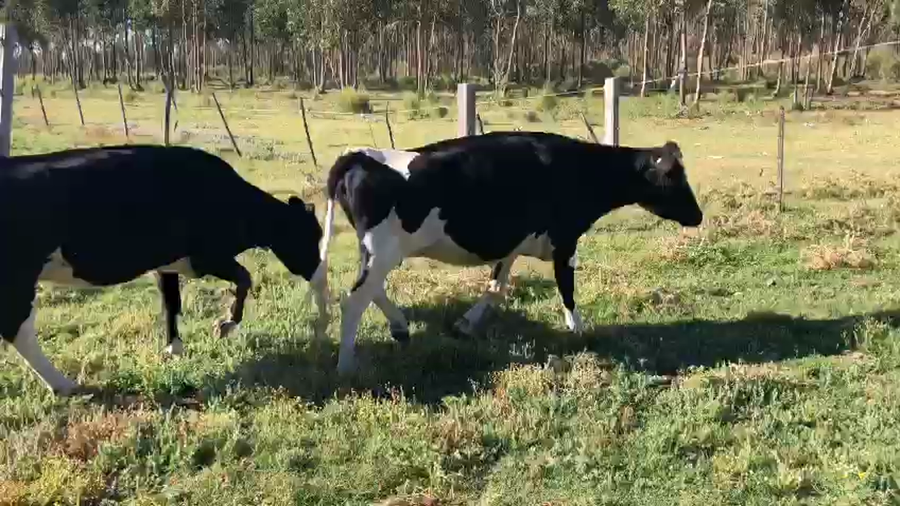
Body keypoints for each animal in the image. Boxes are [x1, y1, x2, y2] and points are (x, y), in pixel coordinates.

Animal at [0, 144, 329, 396]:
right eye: (310, 235)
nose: (319, 272)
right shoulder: (207, 257)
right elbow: (245, 278)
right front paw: (225, 325)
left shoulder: (168, 265)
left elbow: (172, 302)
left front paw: (174, 349)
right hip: (19, 277)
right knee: (17, 328)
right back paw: (63, 384)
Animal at [319, 131, 704, 375]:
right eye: (673, 176)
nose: (698, 216)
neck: (578, 169)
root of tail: (359, 155)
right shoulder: (565, 240)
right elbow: (567, 288)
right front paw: (578, 330)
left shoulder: (511, 245)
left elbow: (496, 288)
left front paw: (465, 324)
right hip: (382, 250)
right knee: (354, 300)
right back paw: (346, 365)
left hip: (376, 251)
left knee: (371, 291)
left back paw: (399, 328)